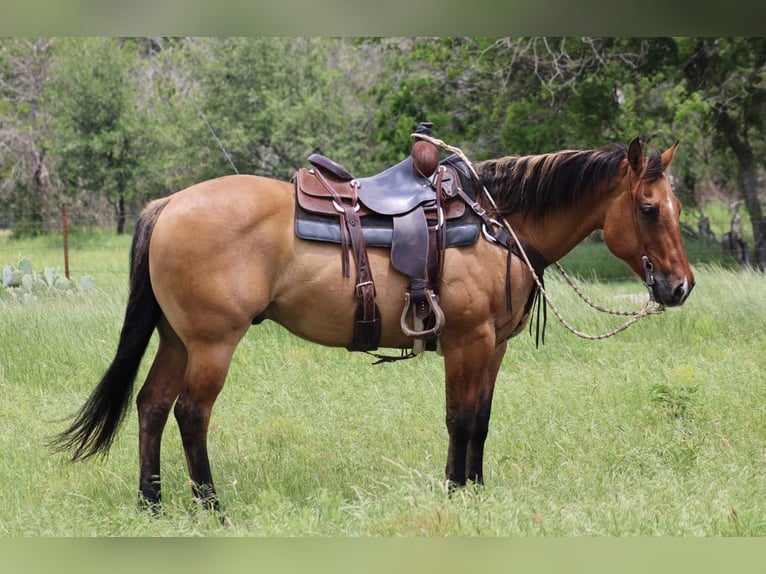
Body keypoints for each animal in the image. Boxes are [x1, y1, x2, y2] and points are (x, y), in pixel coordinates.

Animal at [49, 136, 696, 512]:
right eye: (647, 209)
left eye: (676, 208)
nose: (679, 287)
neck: (496, 225)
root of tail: (167, 205)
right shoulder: (467, 341)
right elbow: (460, 419)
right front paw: (455, 492)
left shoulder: (493, 348)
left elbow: (482, 421)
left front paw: (476, 491)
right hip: (212, 343)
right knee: (190, 413)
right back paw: (211, 506)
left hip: (177, 339)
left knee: (152, 406)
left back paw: (152, 505)